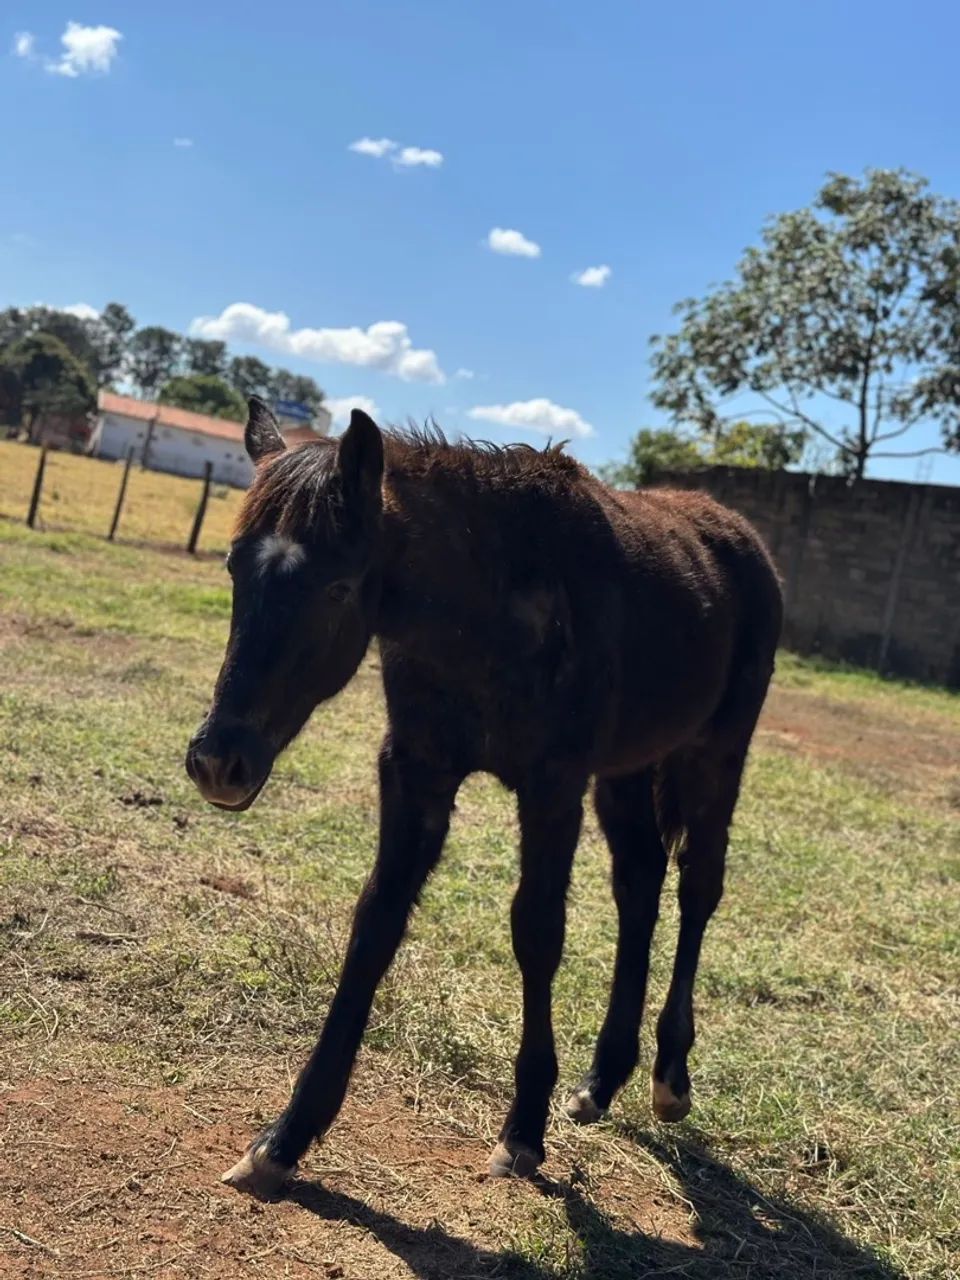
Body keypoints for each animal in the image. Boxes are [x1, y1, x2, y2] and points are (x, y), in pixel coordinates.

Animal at [185, 397, 783, 1197]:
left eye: (338, 586)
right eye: (234, 567)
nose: (218, 762)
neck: (491, 608)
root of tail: (739, 538)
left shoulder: (552, 785)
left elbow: (538, 932)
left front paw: (523, 1130)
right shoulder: (417, 772)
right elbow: (376, 922)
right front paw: (285, 1138)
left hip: (715, 756)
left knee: (698, 888)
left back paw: (669, 1078)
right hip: (628, 770)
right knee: (640, 883)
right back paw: (602, 1080)